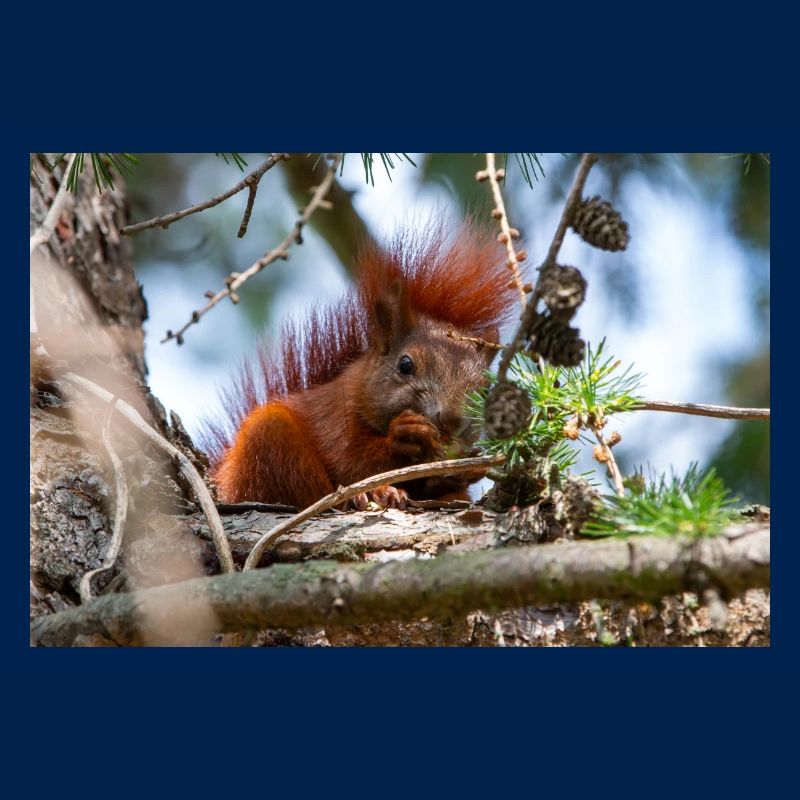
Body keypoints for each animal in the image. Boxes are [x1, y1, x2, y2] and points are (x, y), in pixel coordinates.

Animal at [202, 221, 520, 510]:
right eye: (405, 365)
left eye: (485, 389)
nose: (452, 419)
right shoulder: (334, 419)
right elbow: (352, 462)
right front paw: (405, 435)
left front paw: (470, 467)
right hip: (268, 442)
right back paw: (369, 495)